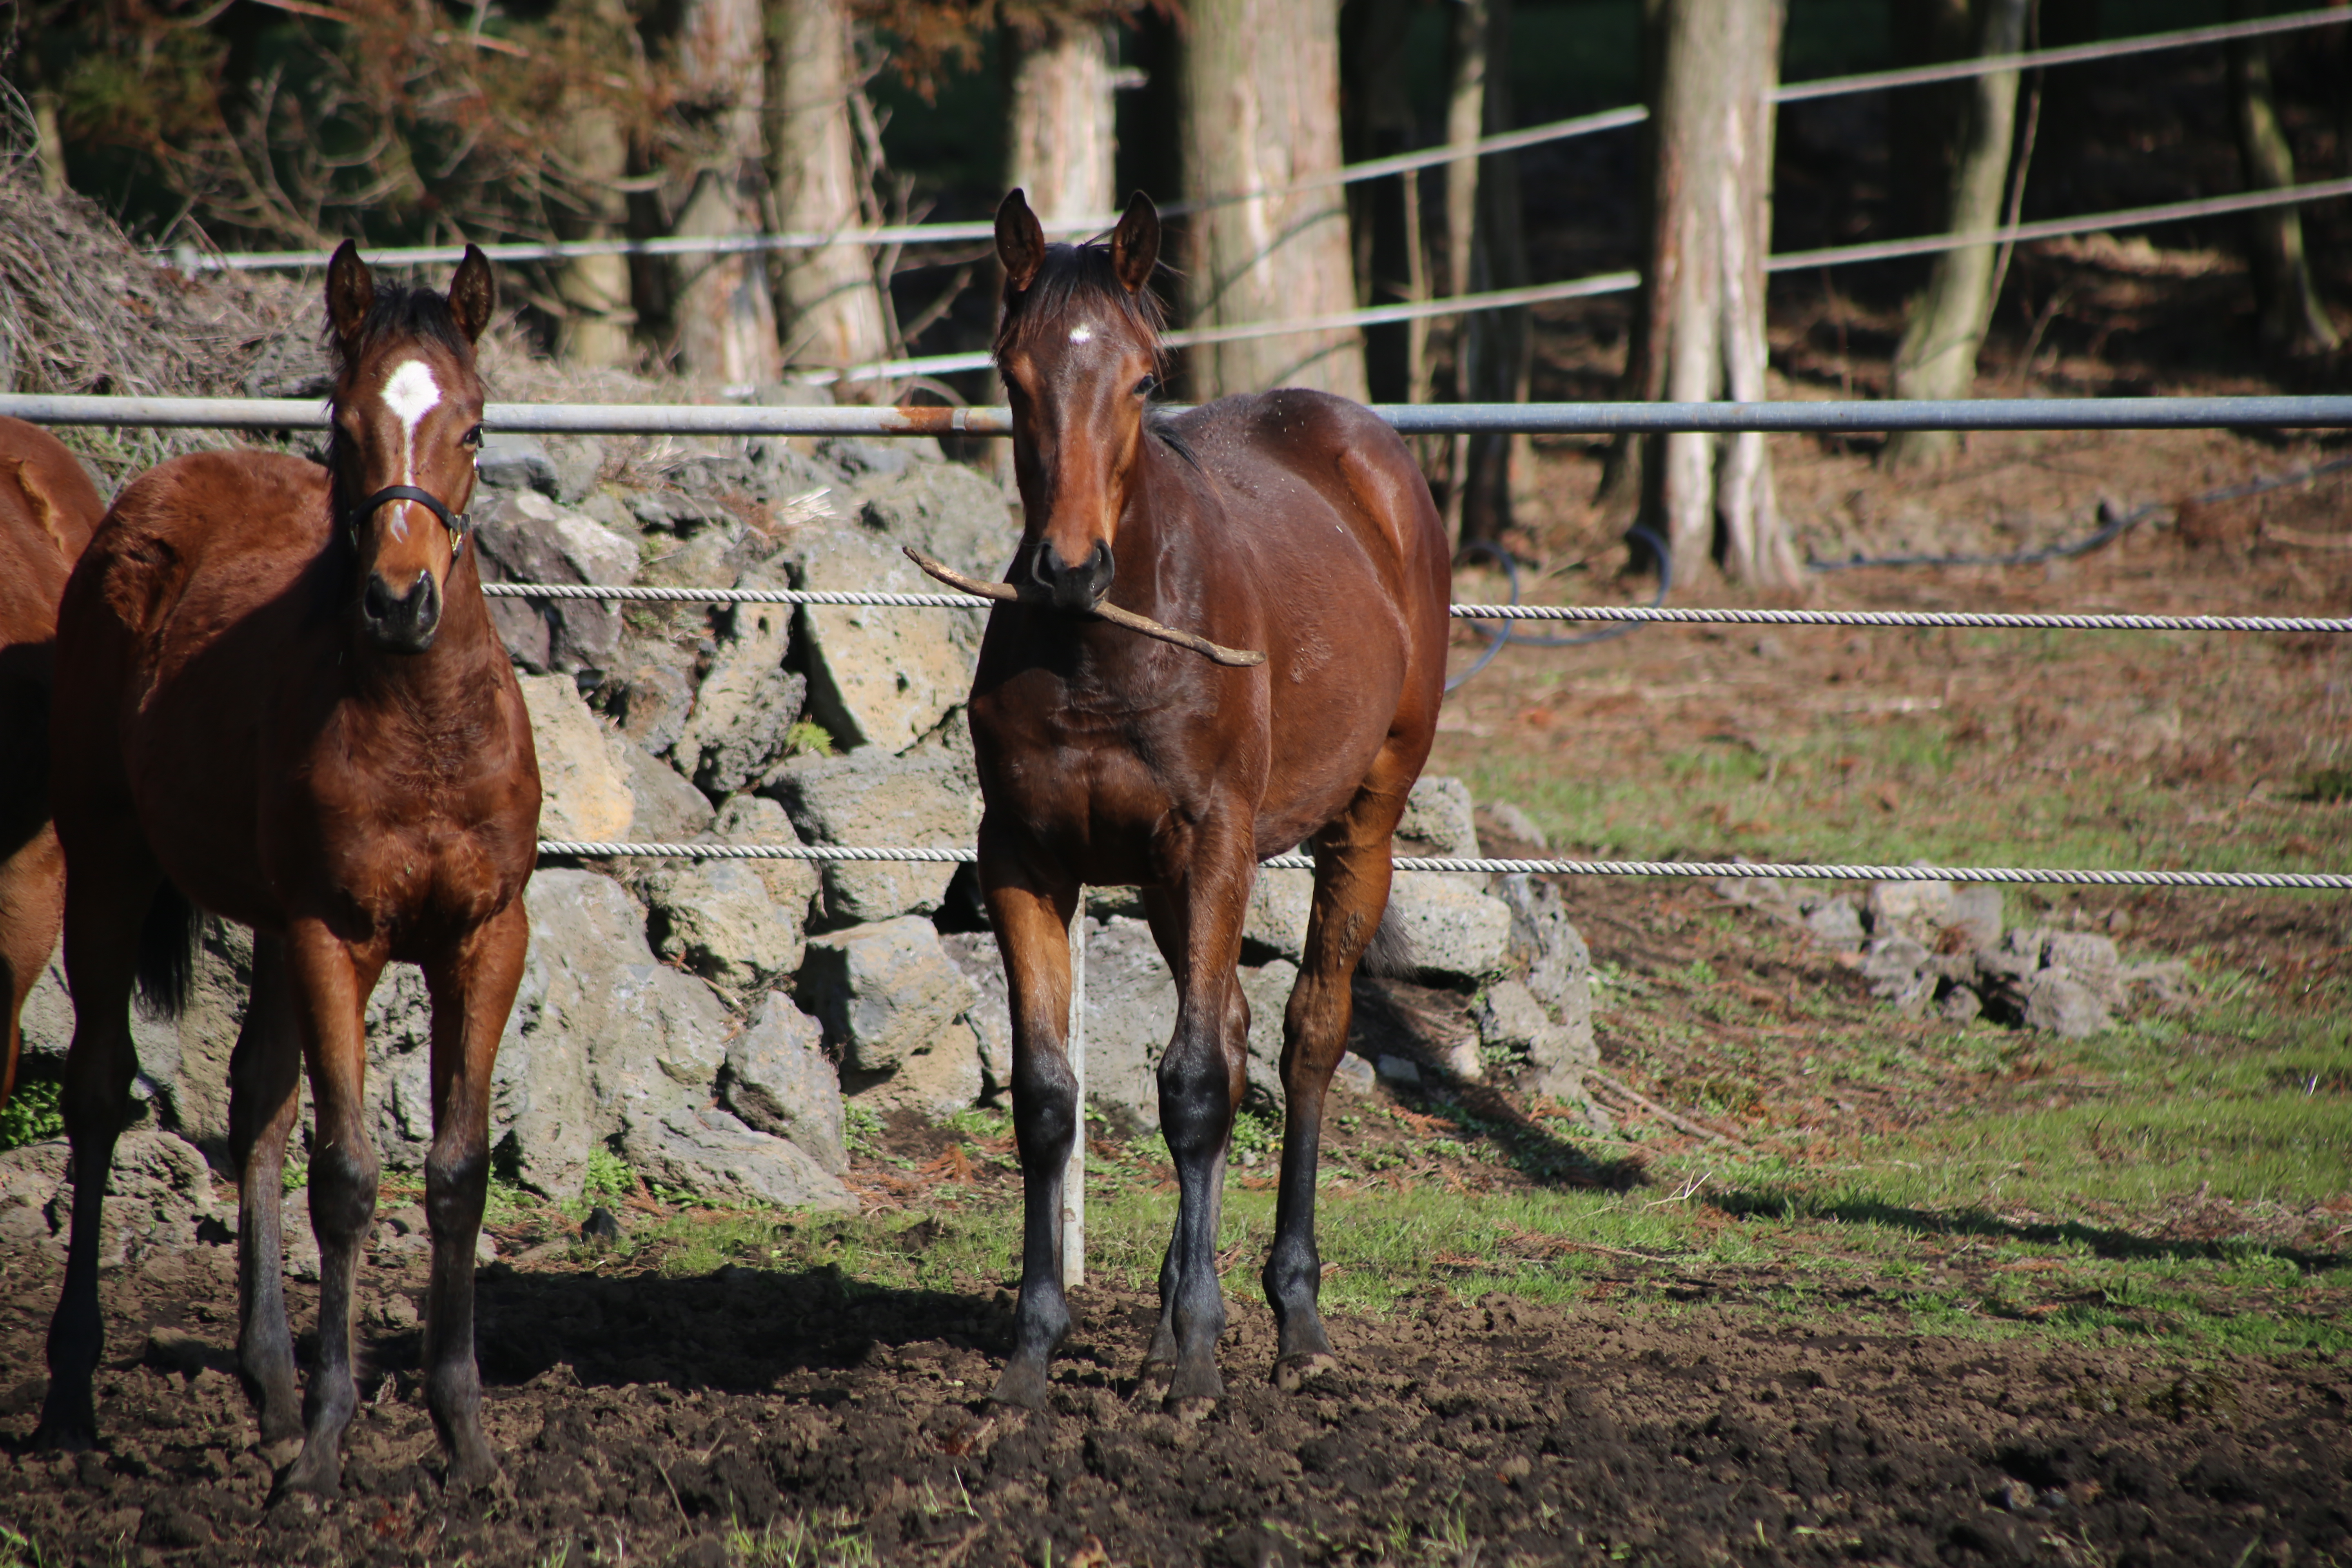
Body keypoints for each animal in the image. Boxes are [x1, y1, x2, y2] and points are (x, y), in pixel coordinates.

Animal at [36, 245, 541, 1495]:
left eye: (473, 427)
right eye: (347, 428)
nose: (401, 603)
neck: (423, 729)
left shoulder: (485, 937)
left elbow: (455, 1172)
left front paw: (464, 1440)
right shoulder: (334, 932)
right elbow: (349, 1175)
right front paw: (322, 1450)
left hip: (264, 916)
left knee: (255, 1101)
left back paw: (265, 1385)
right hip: (109, 858)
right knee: (101, 1091)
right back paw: (72, 1398)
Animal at [969, 193, 1449, 1410]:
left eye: (1143, 379)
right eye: (1015, 376)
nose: (1069, 568)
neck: (1102, 649)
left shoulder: (1217, 843)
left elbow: (1192, 1086)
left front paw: (1193, 1364)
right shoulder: (1025, 860)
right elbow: (1047, 1098)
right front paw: (1036, 1353)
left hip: (1359, 824)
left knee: (1304, 1040)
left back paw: (1292, 1321)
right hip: (1164, 880)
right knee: (1230, 1034)